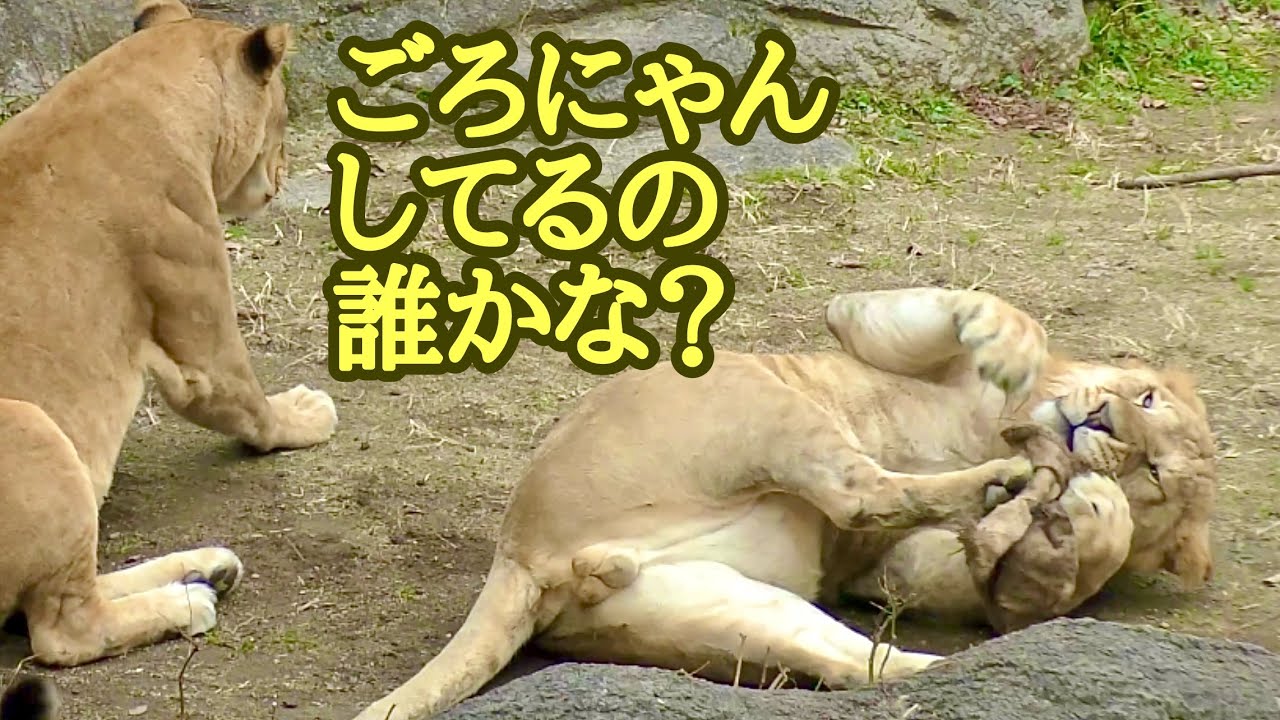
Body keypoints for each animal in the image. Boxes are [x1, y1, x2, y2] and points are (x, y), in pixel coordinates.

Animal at [0, 0, 337, 669]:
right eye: (285, 117)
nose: (283, 174)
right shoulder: (200, 336)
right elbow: (250, 404)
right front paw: (305, 414)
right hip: (30, 427)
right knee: (62, 630)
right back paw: (189, 602)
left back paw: (205, 566)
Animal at [349, 286, 1217, 720]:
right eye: (1144, 395)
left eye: (1154, 473)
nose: (1105, 428)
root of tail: (526, 550)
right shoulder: (871, 331)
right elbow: (991, 311)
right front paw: (1008, 352)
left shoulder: (894, 571)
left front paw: (1088, 520)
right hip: (754, 391)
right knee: (861, 491)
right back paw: (1012, 471)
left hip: (730, 604)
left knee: (856, 645)